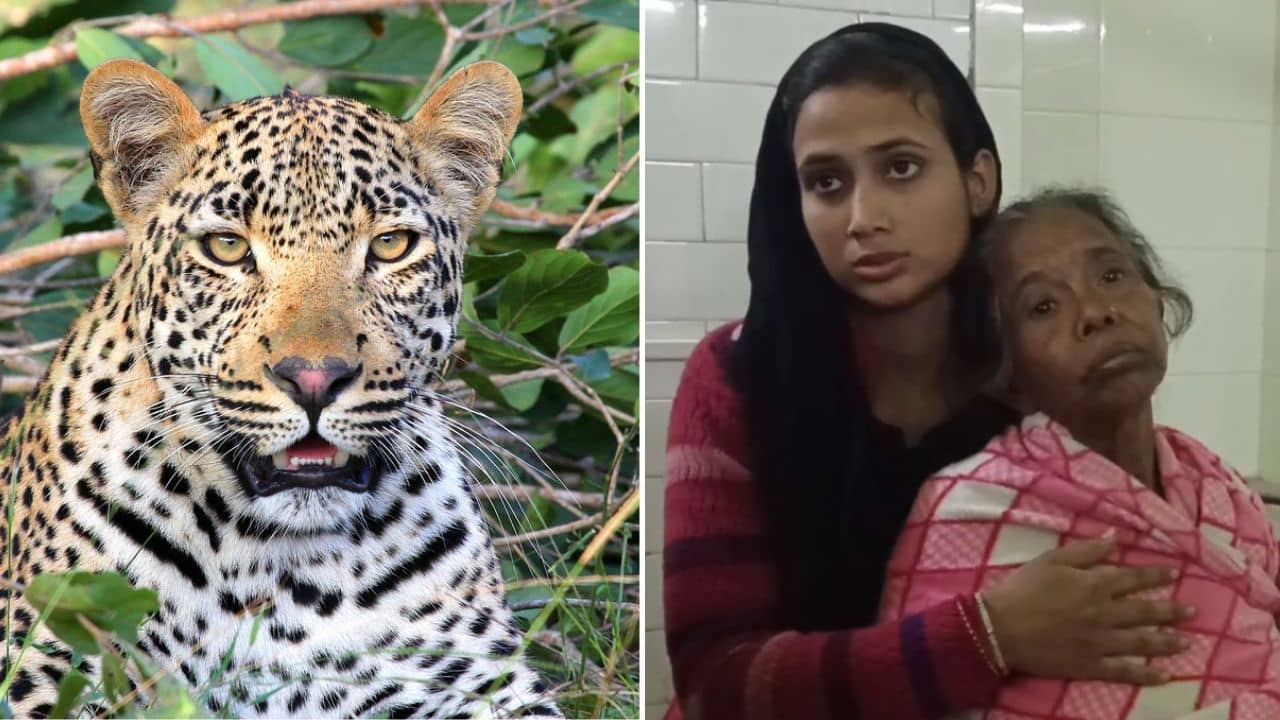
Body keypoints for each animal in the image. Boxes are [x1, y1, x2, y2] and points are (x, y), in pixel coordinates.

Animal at [0, 58, 563, 718]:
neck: (279, 571)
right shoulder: (46, 668)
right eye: (227, 247)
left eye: (391, 245)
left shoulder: (473, 680)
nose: (314, 378)